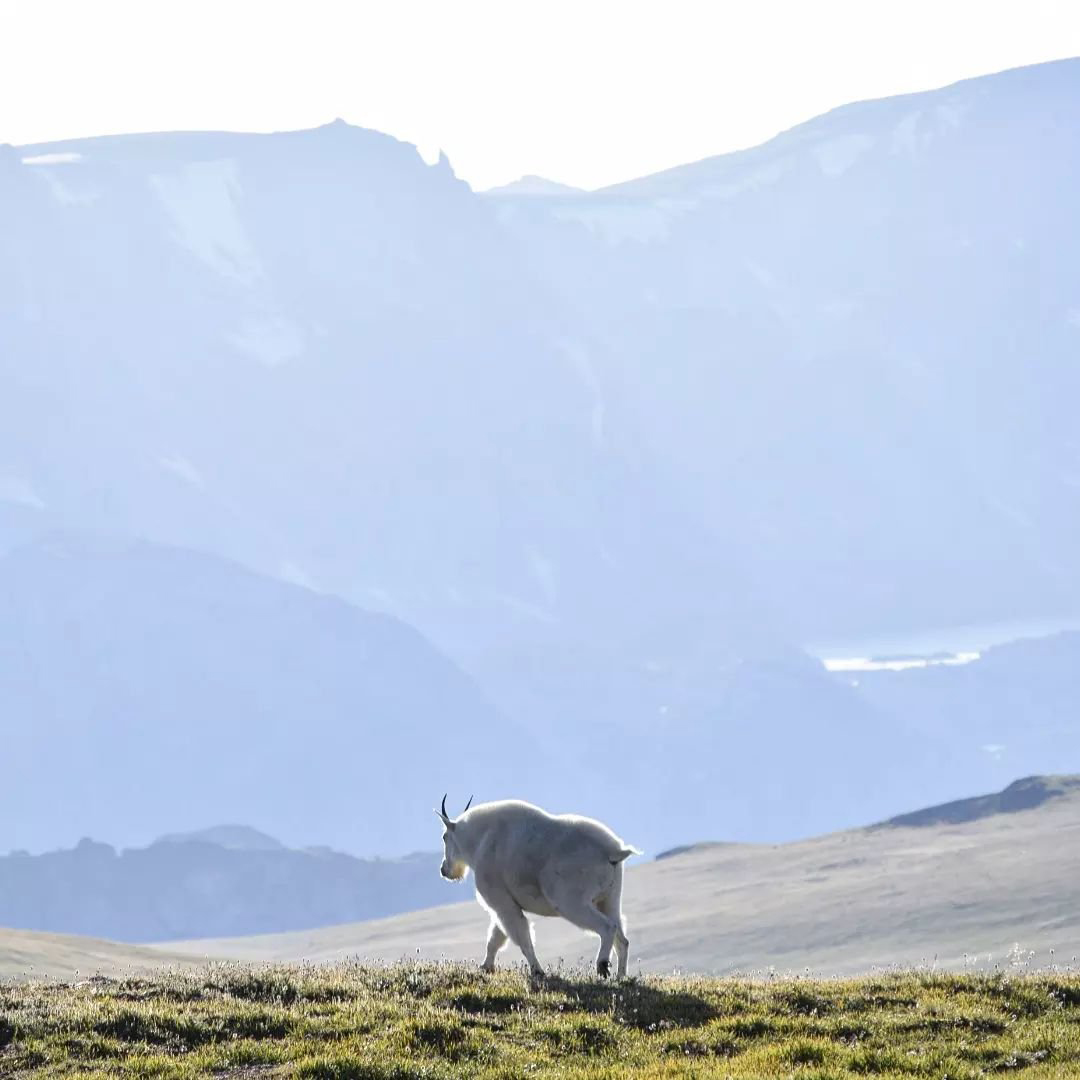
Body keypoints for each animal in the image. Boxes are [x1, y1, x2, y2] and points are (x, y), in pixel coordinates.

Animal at [432, 794, 635, 980]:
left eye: (444, 837)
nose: (443, 870)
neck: (480, 840)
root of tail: (613, 852)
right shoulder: (505, 903)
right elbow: (495, 938)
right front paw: (485, 967)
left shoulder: (500, 901)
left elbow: (521, 936)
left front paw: (537, 971)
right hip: (609, 897)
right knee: (621, 937)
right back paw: (621, 977)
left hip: (570, 901)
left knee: (607, 927)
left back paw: (602, 966)